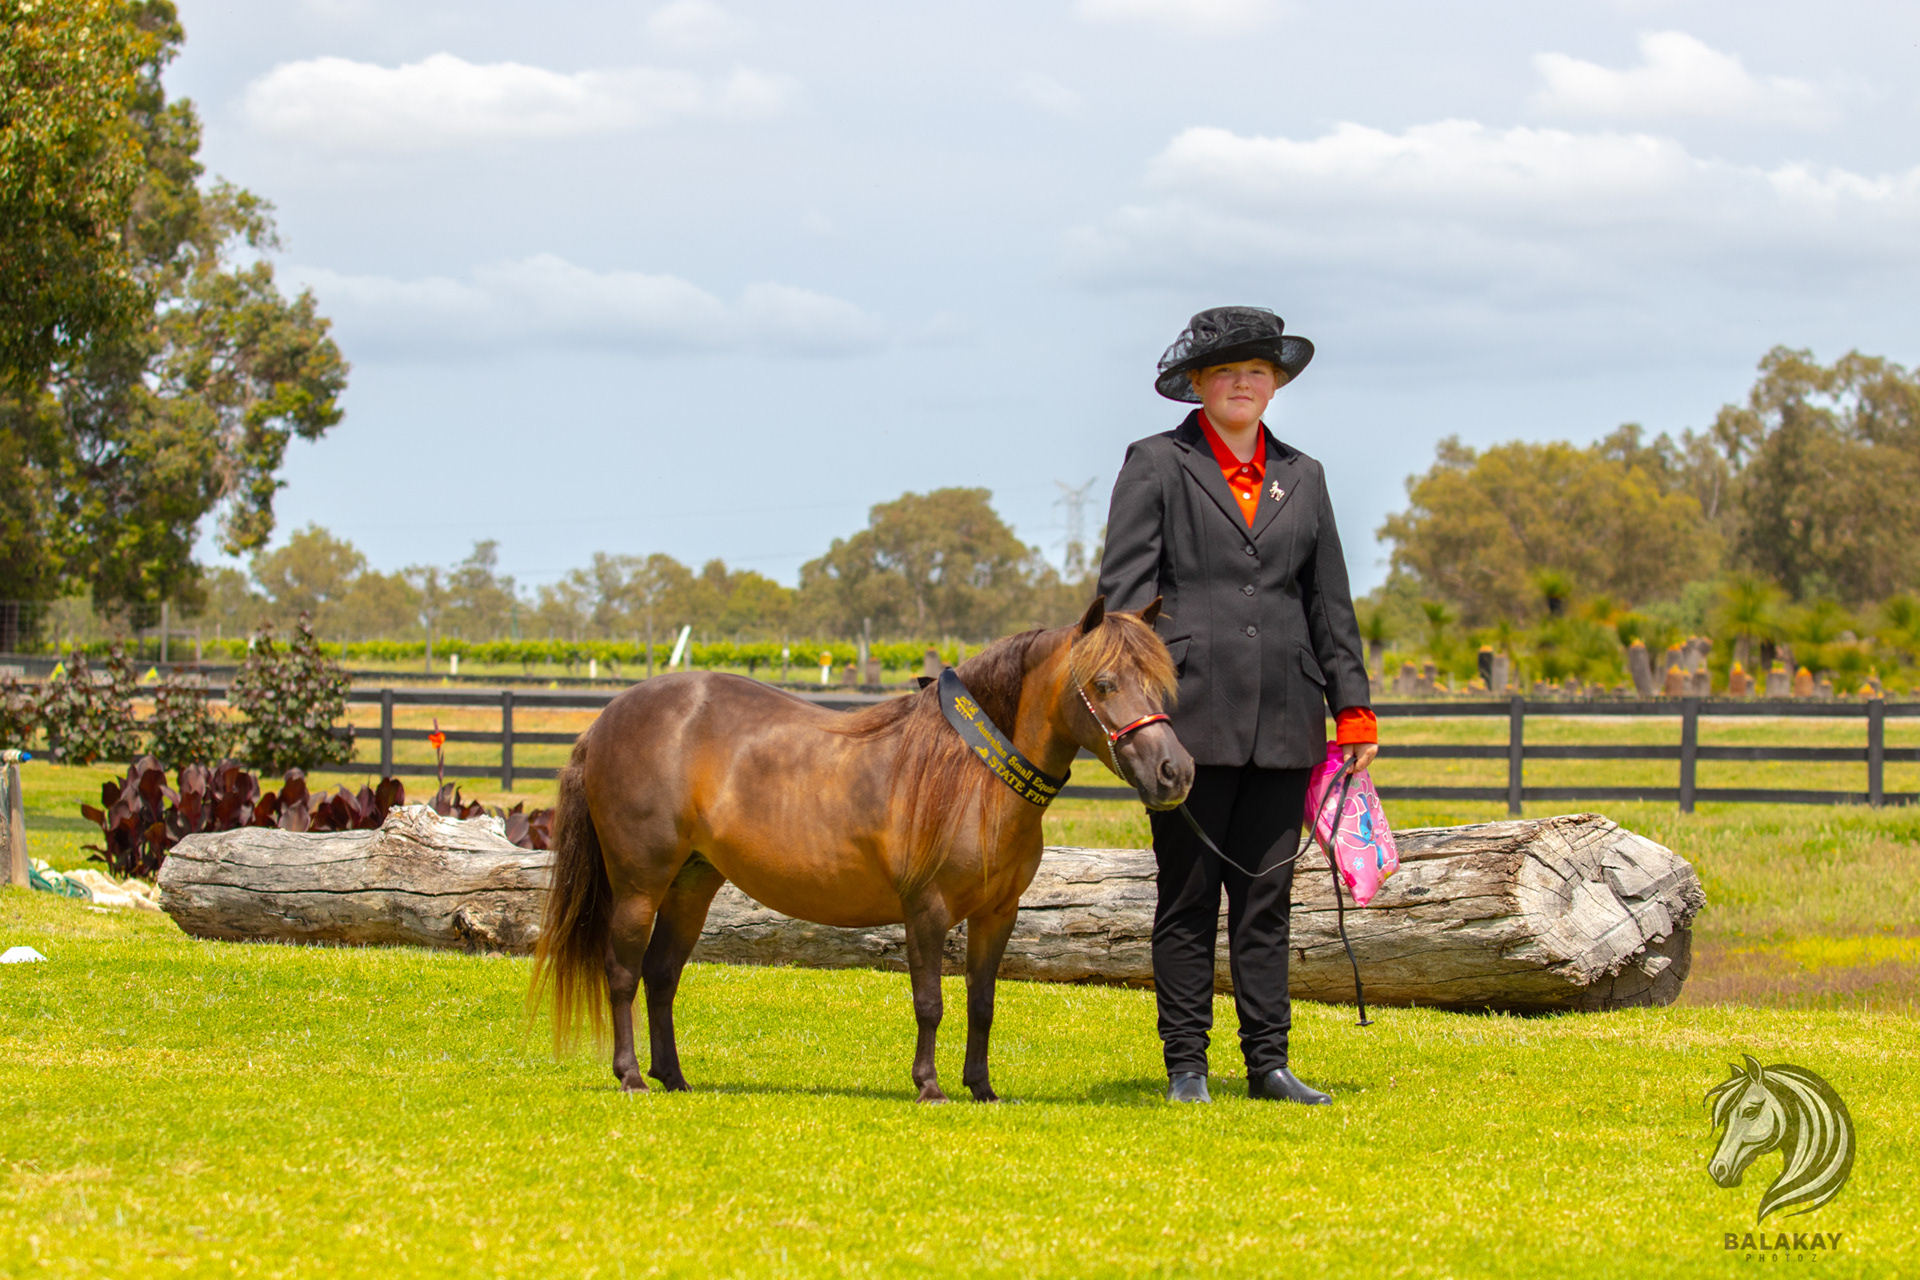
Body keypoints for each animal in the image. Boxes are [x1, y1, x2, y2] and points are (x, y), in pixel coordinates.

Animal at [531, 597, 1194, 1102]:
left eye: (1162, 681)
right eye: (1104, 683)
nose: (1176, 773)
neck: (971, 775)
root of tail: (605, 719)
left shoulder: (997, 914)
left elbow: (982, 1002)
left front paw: (982, 1089)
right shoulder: (925, 909)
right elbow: (929, 1002)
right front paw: (929, 1086)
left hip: (692, 885)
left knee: (661, 974)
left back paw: (674, 1077)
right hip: (639, 885)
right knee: (622, 972)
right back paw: (631, 1076)